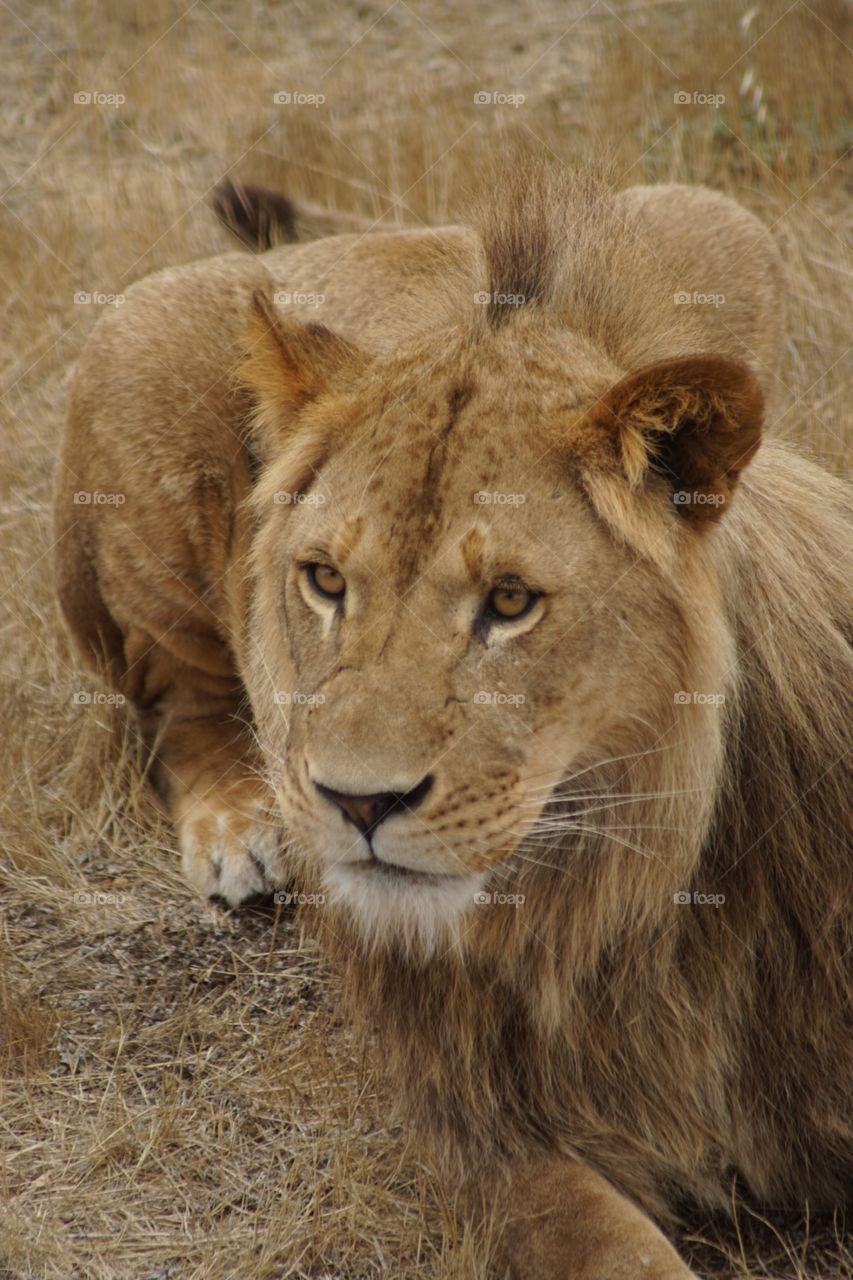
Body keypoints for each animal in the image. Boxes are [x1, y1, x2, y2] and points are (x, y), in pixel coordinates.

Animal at [56, 170, 845, 1280]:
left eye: (510, 601)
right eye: (324, 579)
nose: (357, 803)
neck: (627, 893)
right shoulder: (485, 1129)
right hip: (132, 364)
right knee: (178, 704)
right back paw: (241, 836)